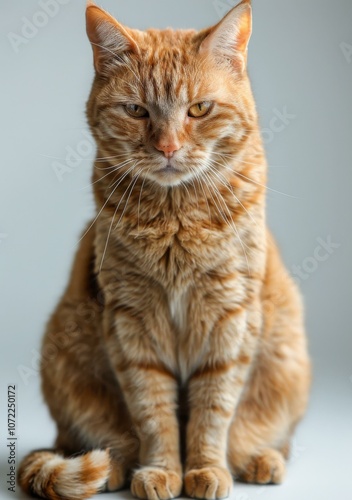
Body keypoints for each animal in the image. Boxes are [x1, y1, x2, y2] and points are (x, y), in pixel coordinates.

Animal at [19, 0, 310, 500]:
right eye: (136, 110)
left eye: (199, 109)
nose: (168, 146)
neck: (176, 219)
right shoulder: (132, 320)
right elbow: (153, 411)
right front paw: (161, 471)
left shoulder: (230, 317)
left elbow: (213, 410)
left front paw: (206, 469)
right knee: (85, 441)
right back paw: (115, 465)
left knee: (274, 438)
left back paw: (259, 459)